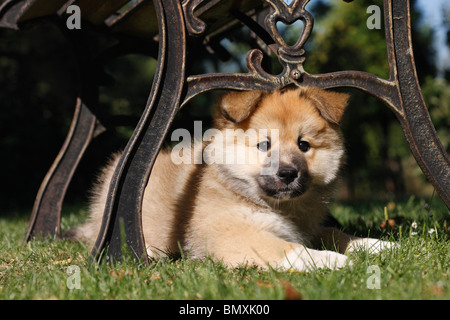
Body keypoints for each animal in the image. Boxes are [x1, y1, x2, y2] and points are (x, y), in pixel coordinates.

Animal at [71, 86, 394, 272]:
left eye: (304, 145)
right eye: (264, 145)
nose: (288, 173)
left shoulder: (308, 227)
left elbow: (337, 234)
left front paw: (377, 245)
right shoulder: (236, 235)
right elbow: (293, 250)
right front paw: (334, 261)